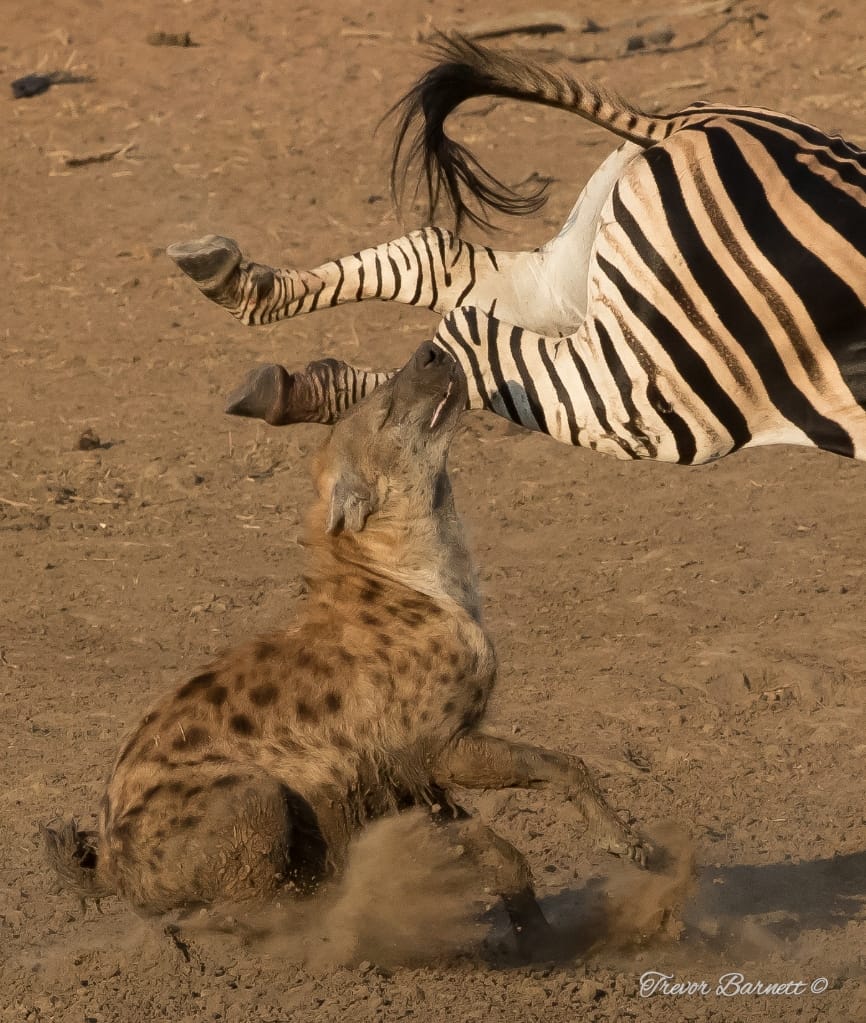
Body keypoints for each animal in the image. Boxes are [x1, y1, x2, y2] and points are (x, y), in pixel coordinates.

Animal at [167, 34, 866, 464]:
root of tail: (680, 122)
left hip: (587, 287)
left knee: (439, 258)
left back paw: (247, 303)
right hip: (660, 397)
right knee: (462, 340)